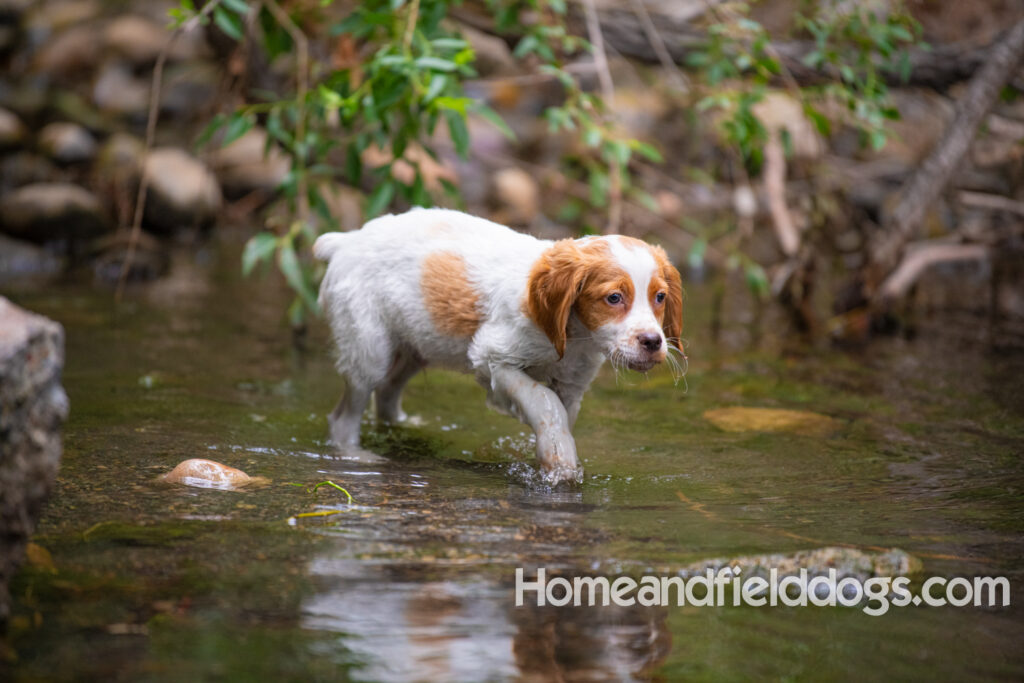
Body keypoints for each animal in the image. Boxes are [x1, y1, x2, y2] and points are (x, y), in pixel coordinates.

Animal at [311, 205, 679, 483]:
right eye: (613, 298)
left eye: (660, 297)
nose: (652, 342)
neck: (573, 337)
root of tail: (346, 241)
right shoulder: (494, 358)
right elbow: (544, 402)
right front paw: (559, 462)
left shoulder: (571, 386)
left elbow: (558, 416)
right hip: (368, 350)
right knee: (344, 417)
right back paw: (358, 457)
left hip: (413, 348)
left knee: (387, 394)